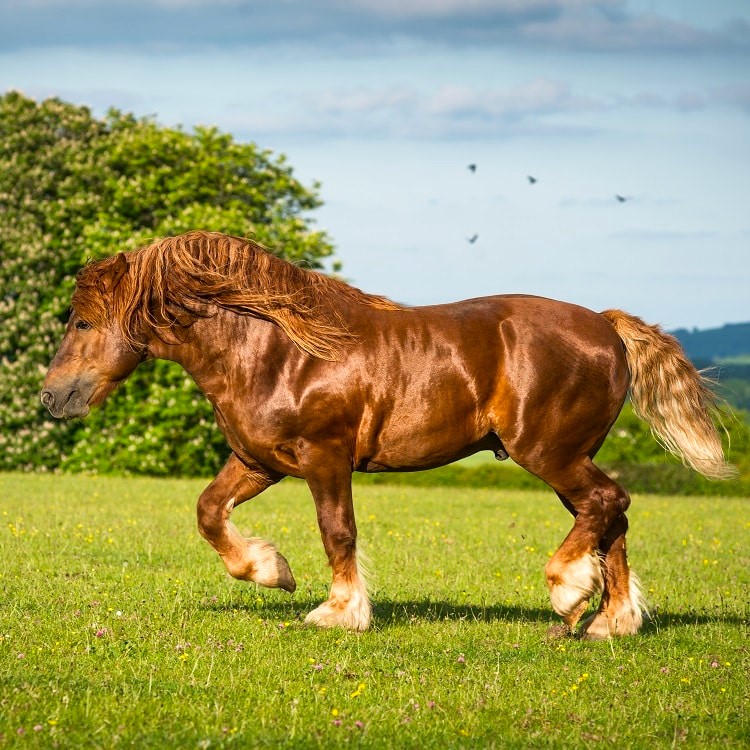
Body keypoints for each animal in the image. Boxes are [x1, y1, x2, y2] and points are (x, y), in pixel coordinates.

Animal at [41, 231, 736, 640]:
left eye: (81, 322)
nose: (51, 397)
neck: (275, 349)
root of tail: (605, 325)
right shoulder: (259, 461)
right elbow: (209, 512)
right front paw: (271, 571)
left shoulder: (325, 458)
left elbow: (338, 531)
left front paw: (338, 611)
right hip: (568, 457)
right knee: (610, 517)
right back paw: (609, 622)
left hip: (549, 453)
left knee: (608, 505)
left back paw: (570, 596)